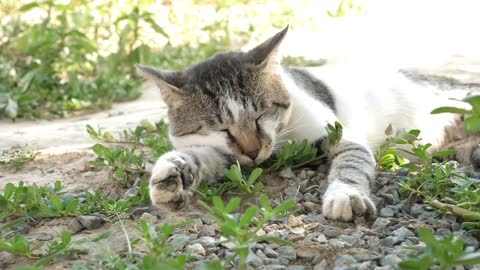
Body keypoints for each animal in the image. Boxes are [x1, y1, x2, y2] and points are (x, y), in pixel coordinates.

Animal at [136, 25, 480, 221]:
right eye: (220, 128)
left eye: (260, 115)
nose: (253, 151)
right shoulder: (227, 155)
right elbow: (203, 157)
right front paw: (171, 175)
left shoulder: (340, 134)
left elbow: (352, 163)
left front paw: (345, 195)